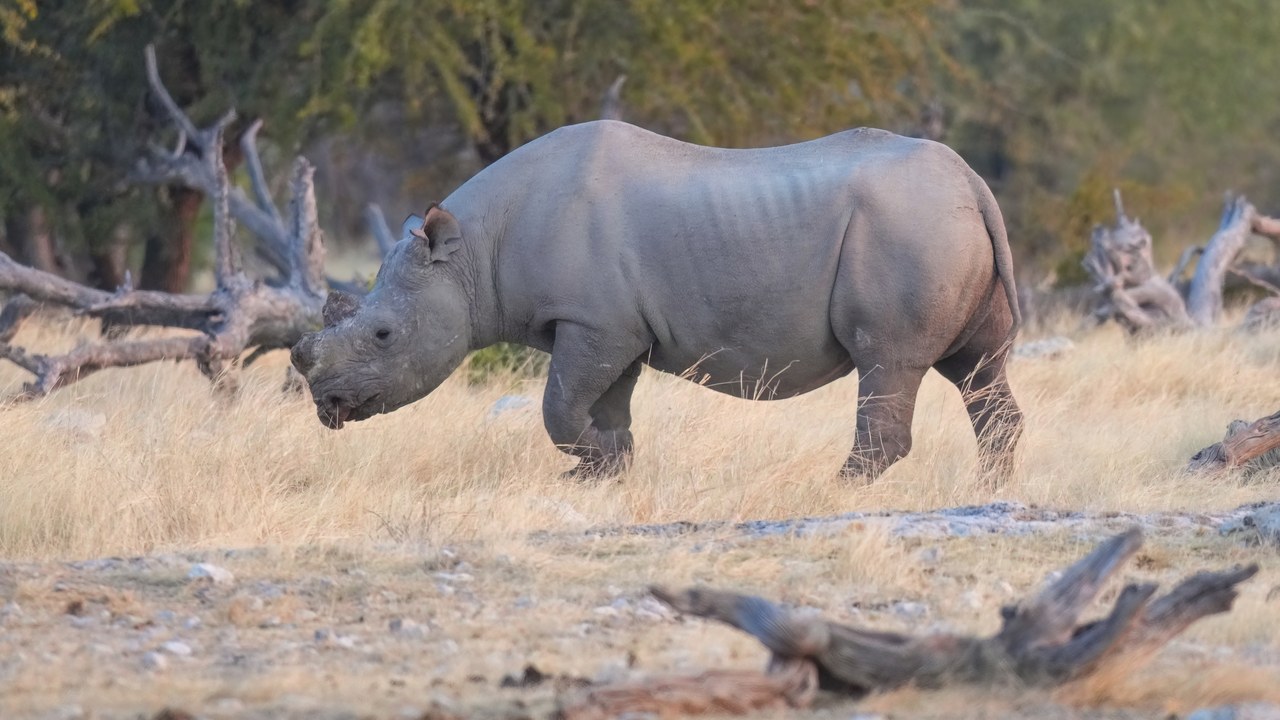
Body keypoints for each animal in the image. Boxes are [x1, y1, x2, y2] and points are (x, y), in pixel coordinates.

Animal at [291, 120, 1023, 480]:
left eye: (383, 335)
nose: (326, 406)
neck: (471, 254)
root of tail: (972, 182)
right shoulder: (611, 327)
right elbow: (601, 403)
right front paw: (604, 469)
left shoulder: (593, 323)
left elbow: (559, 406)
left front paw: (590, 458)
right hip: (941, 225)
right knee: (977, 369)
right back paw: (989, 489)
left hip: (910, 227)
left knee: (888, 360)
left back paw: (833, 487)